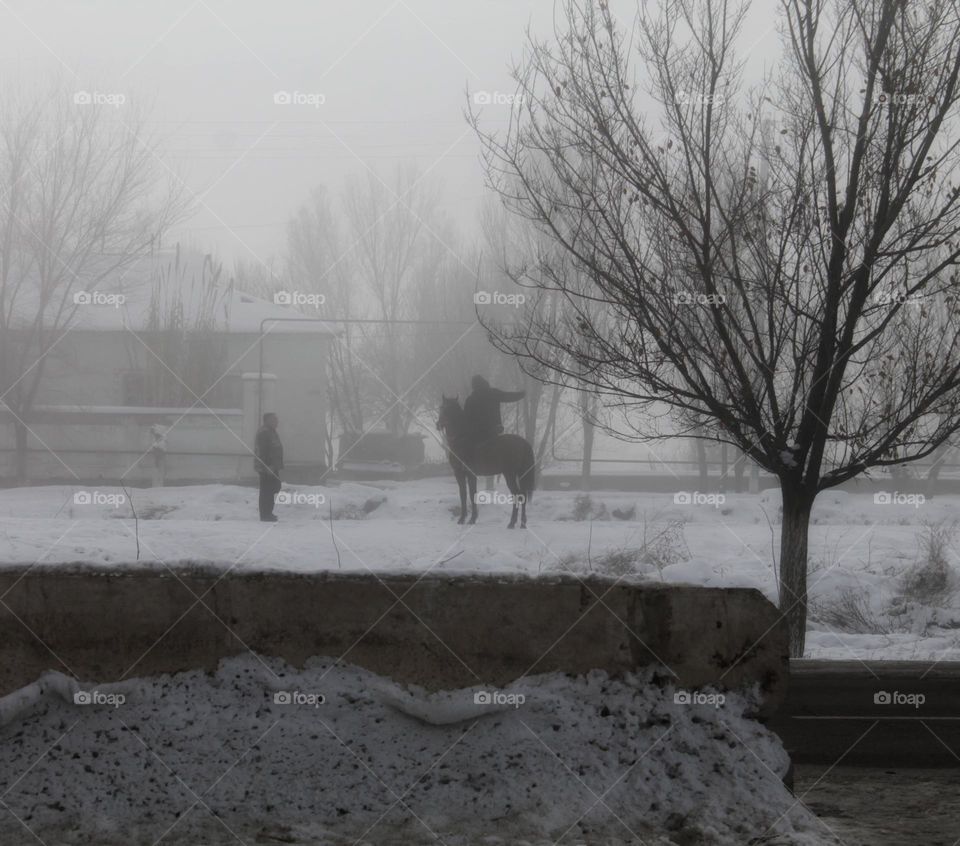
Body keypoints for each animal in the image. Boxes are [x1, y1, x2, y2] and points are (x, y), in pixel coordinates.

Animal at [438, 394, 536, 528]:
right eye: (441, 407)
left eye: (450, 409)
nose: (438, 424)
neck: (461, 441)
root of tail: (523, 442)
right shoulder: (460, 474)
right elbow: (463, 495)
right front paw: (463, 519)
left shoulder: (469, 474)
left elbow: (471, 494)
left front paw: (472, 519)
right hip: (518, 474)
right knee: (522, 495)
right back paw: (521, 523)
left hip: (510, 474)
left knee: (518, 495)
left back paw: (512, 523)